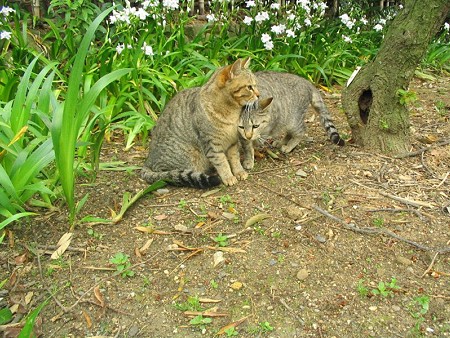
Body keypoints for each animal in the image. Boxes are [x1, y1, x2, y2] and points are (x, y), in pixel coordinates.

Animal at [141, 57, 260, 187]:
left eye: (255, 85)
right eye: (249, 87)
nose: (259, 95)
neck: (232, 113)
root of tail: (148, 161)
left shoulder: (232, 141)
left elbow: (235, 159)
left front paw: (239, 172)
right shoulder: (212, 144)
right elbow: (222, 162)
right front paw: (228, 177)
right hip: (187, 160)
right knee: (169, 174)